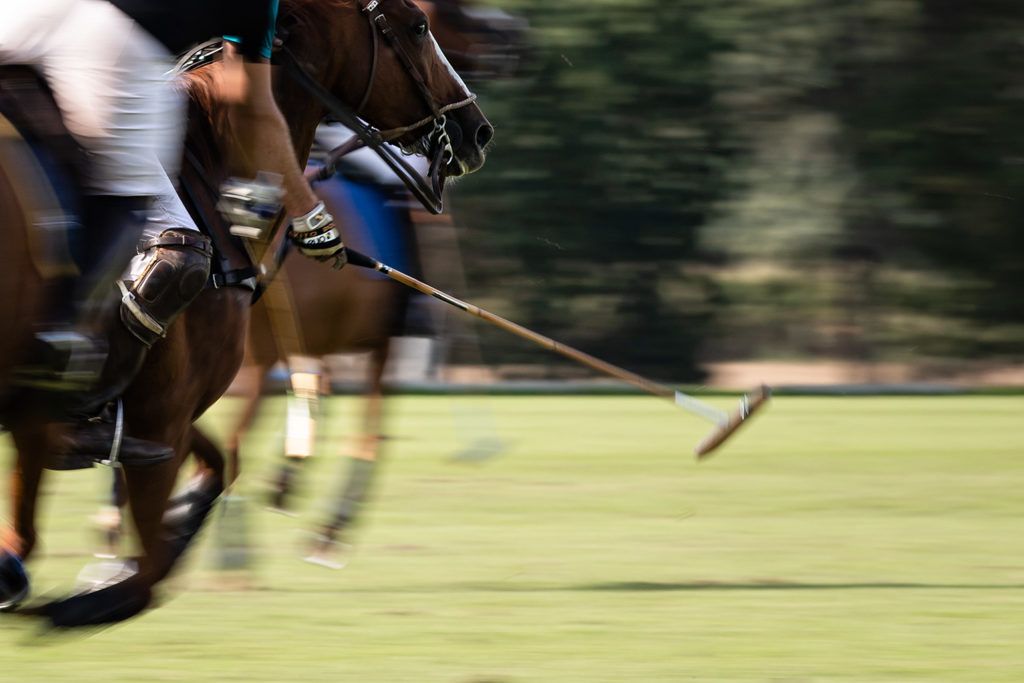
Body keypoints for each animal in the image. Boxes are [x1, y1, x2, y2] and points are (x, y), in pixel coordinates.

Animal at [0, 0, 489, 626]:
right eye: (421, 25)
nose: (477, 129)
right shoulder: (166, 411)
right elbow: (147, 565)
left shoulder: (151, 417)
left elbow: (213, 467)